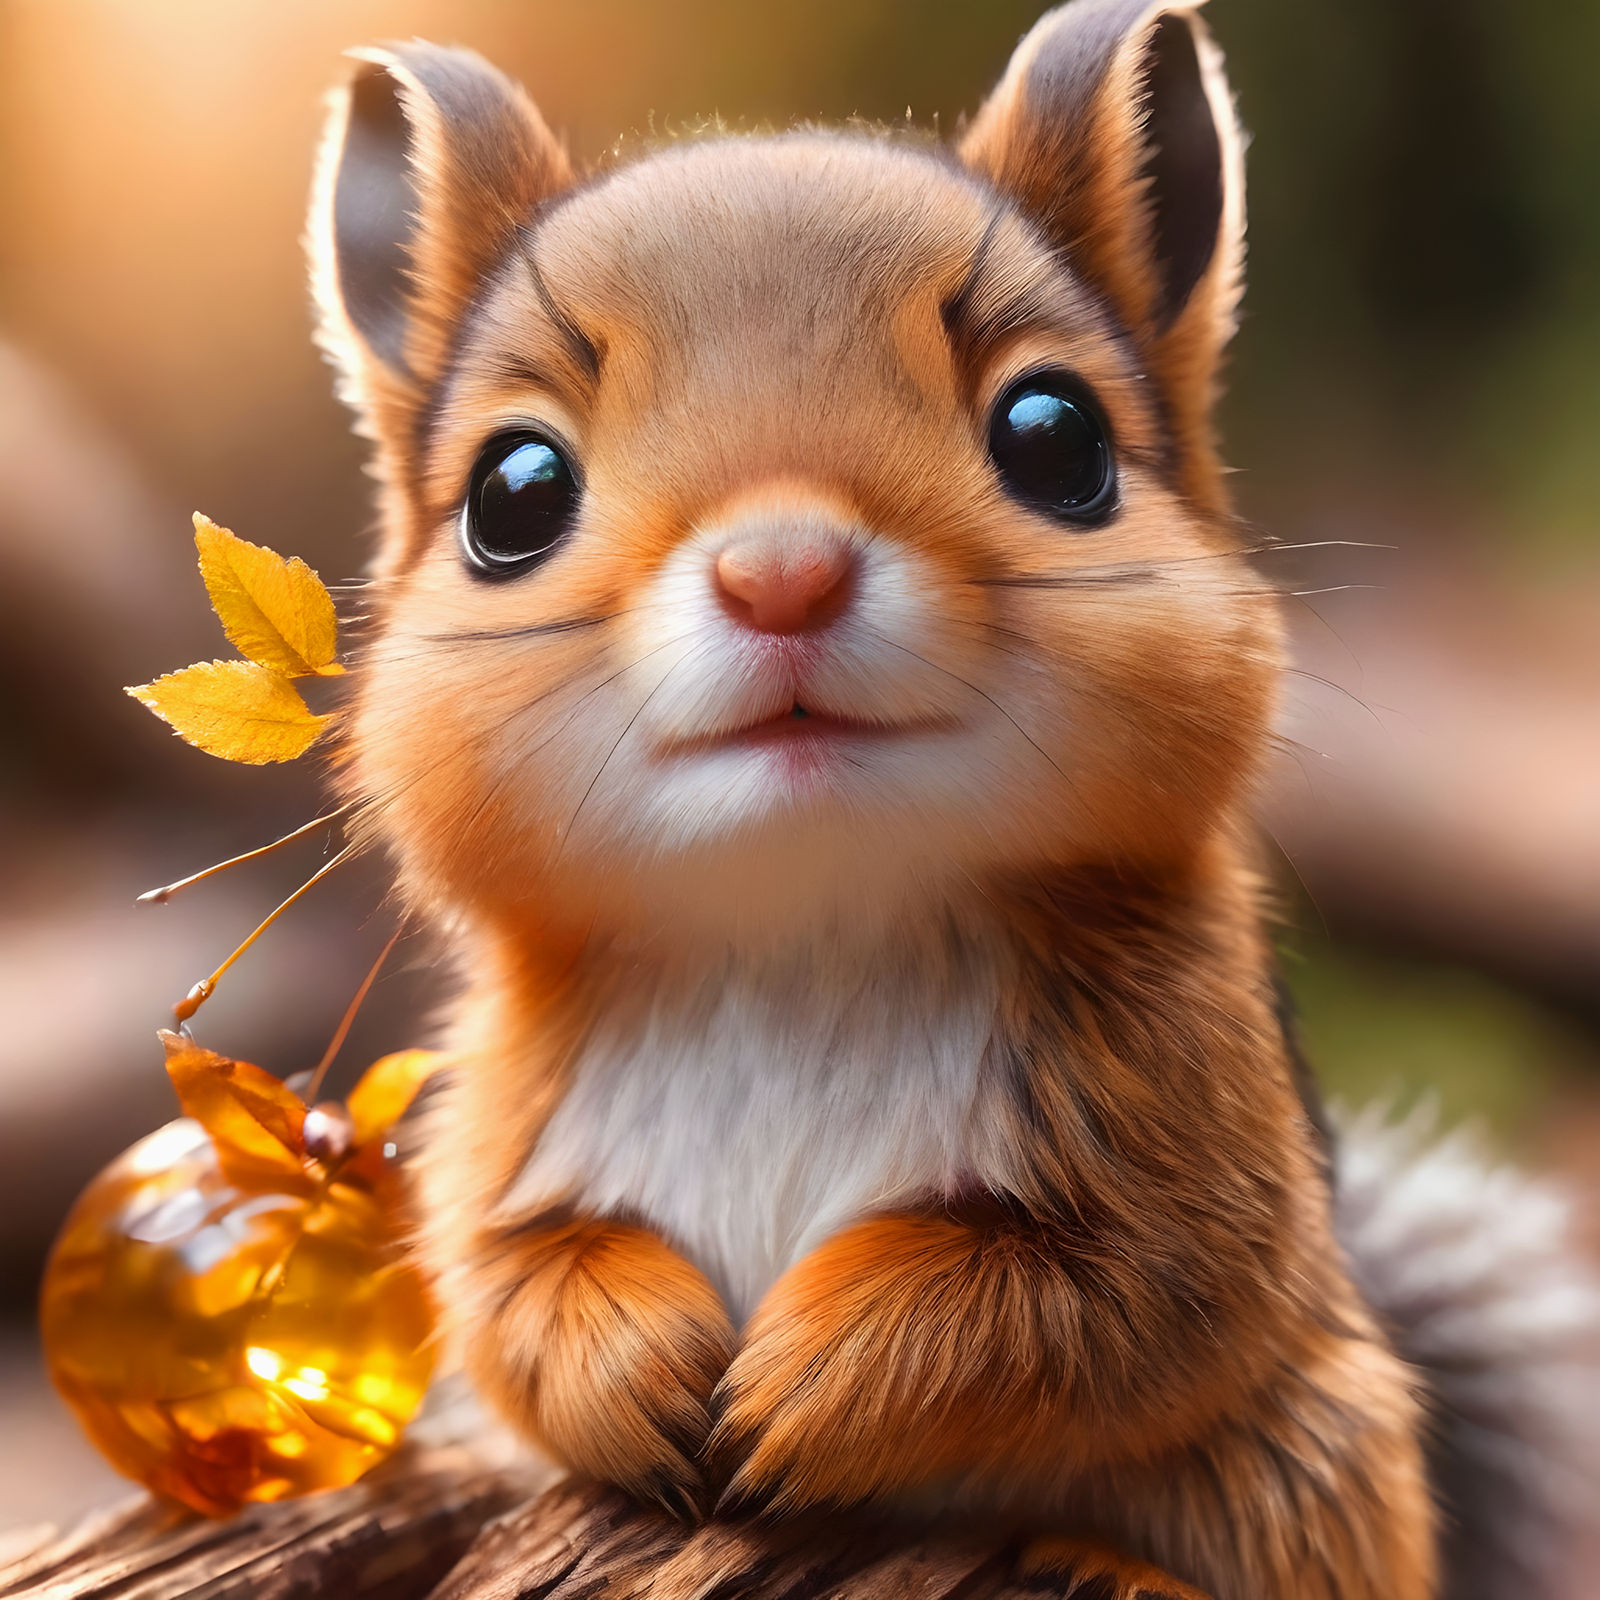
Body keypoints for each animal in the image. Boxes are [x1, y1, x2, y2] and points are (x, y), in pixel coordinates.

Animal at [304, 3, 1598, 1596]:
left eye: (1058, 437)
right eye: (512, 492)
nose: (781, 573)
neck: (803, 931)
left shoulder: (1194, 1137)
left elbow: (1098, 1301)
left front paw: (808, 1387)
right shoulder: (495, 1131)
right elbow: (501, 1290)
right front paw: (639, 1369)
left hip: (1309, 1461)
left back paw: (1098, 1565)